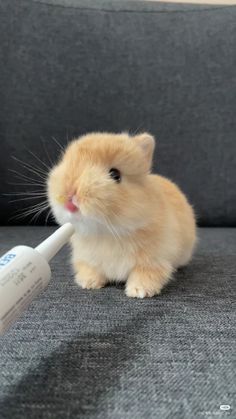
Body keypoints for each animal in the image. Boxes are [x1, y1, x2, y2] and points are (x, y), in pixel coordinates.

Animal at [47, 133, 196, 296]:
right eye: (68, 162)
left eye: (115, 175)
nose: (69, 192)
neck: (107, 233)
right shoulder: (86, 259)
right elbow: (90, 269)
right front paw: (88, 283)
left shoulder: (154, 261)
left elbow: (145, 274)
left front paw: (139, 291)